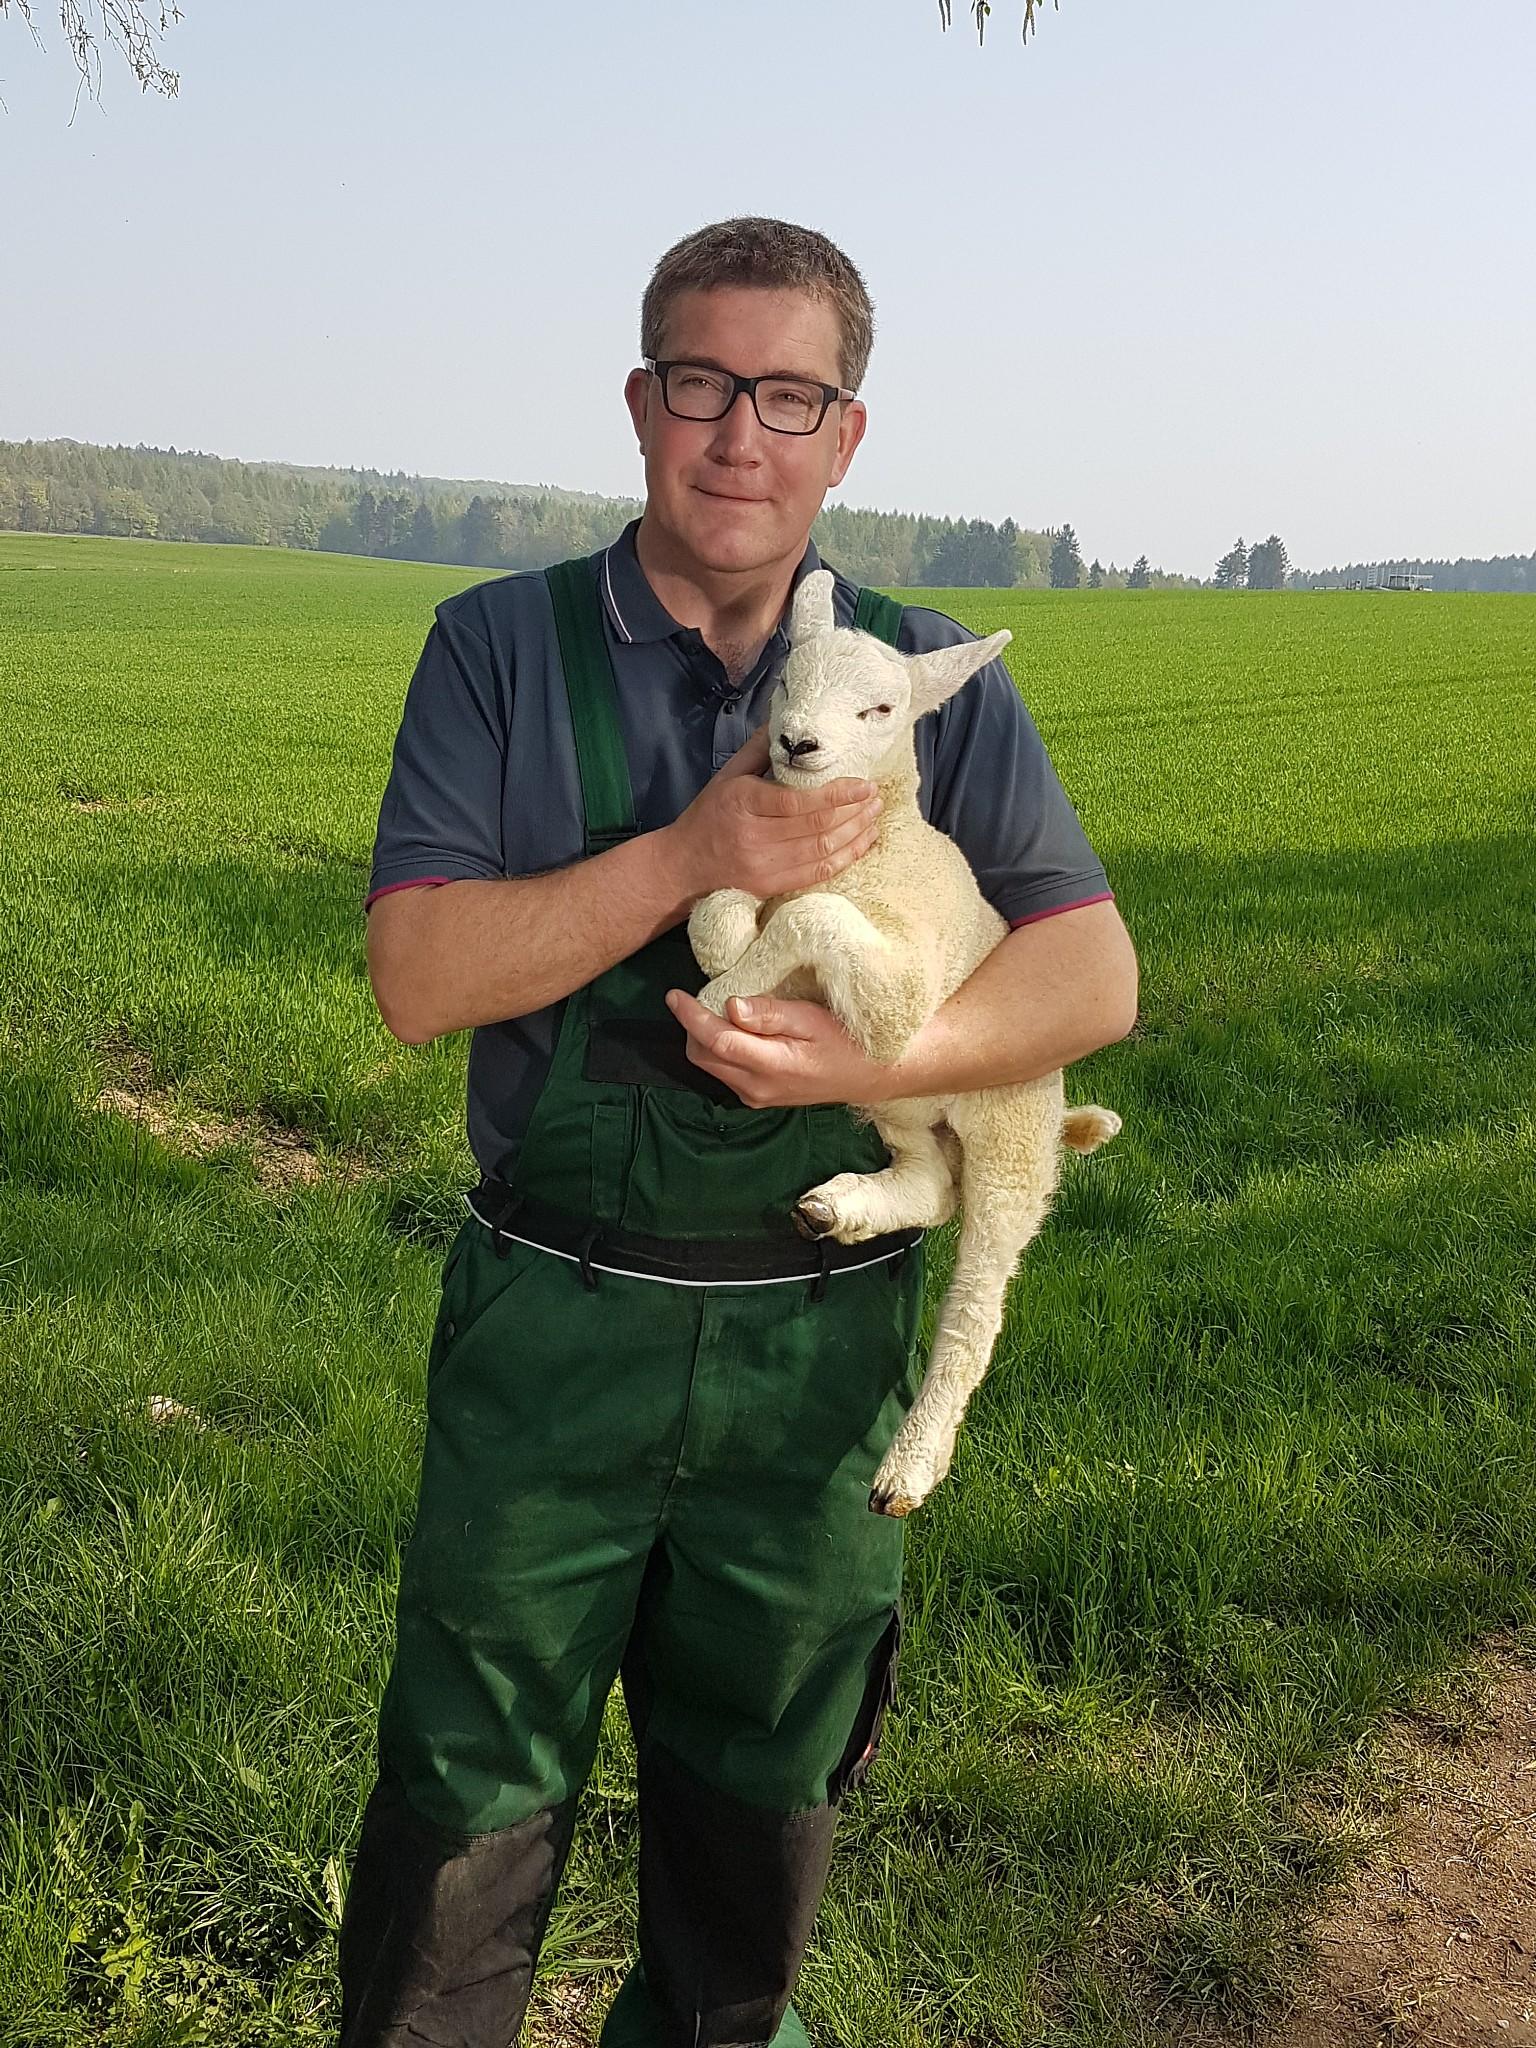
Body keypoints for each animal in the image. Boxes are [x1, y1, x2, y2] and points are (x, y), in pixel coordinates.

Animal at [689, 569, 1121, 1517]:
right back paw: (842, 1208)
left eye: (881, 709)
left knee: (976, 1304)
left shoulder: (902, 998)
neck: (874, 842)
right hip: (899, 1103)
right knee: (931, 1183)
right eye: (785, 679)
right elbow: (716, 905)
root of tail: (1058, 1117)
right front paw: (729, 949)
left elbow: (811, 917)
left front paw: (722, 991)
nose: (798, 743)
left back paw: (911, 1464)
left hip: (1006, 1134)